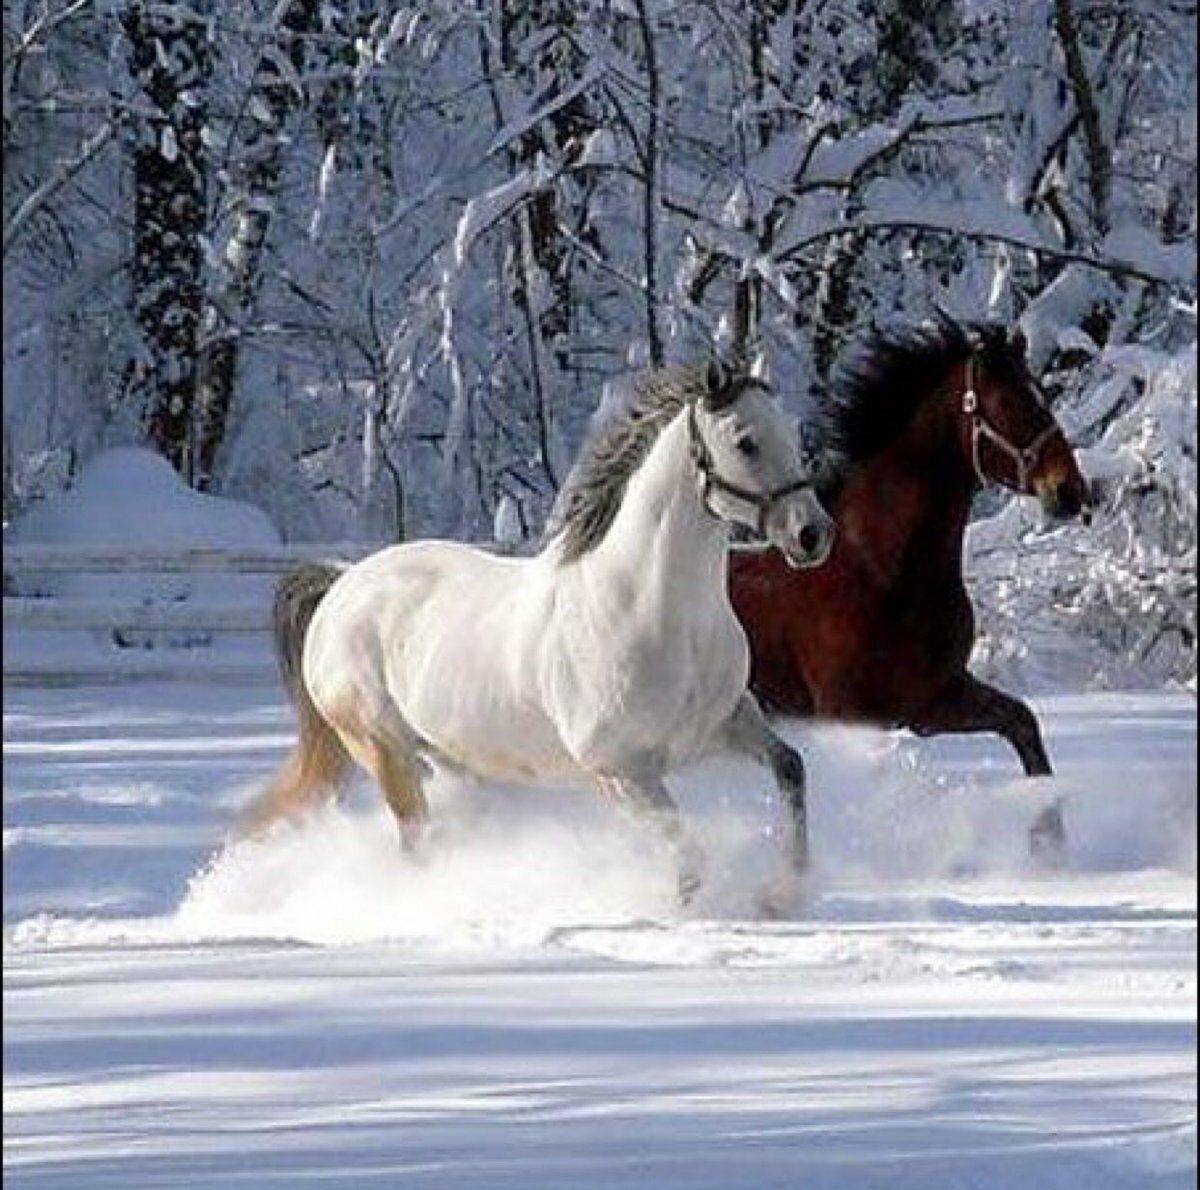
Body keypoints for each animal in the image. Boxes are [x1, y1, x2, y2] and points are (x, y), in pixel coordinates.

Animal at [241, 361, 836, 902]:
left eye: (791, 433)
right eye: (746, 442)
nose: (813, 535)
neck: (656, 613)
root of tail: (340, 583)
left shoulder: (725, 725)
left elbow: (791, 769)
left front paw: (783, 895)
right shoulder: (621, 772)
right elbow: (688, 859)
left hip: (453, 759)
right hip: (384, 753)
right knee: (417, 841)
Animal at [728, 312, 1093, 861]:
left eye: (1041, 395)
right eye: (1008, 402)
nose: (1069, 491)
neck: (882, 577)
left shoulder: (933, 701)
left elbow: (1022, 722)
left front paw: (1049, 846)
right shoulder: (846, 716)